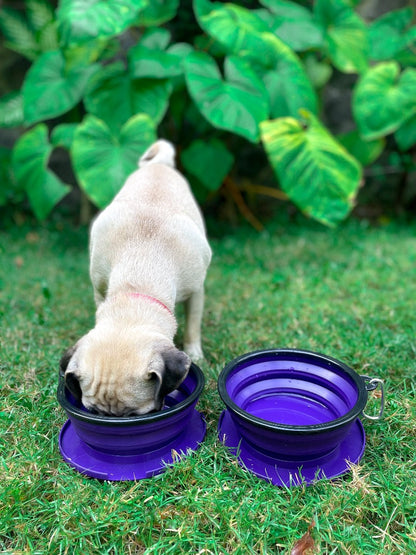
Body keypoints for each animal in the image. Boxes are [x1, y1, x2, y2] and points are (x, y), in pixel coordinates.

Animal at [59, 140, 211, 416]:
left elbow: (193, 324)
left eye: (134, 415)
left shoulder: (196, 291)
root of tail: (159, 164)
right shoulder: (99, 288)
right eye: (94, 412)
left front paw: (195, 353)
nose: (113, 422)